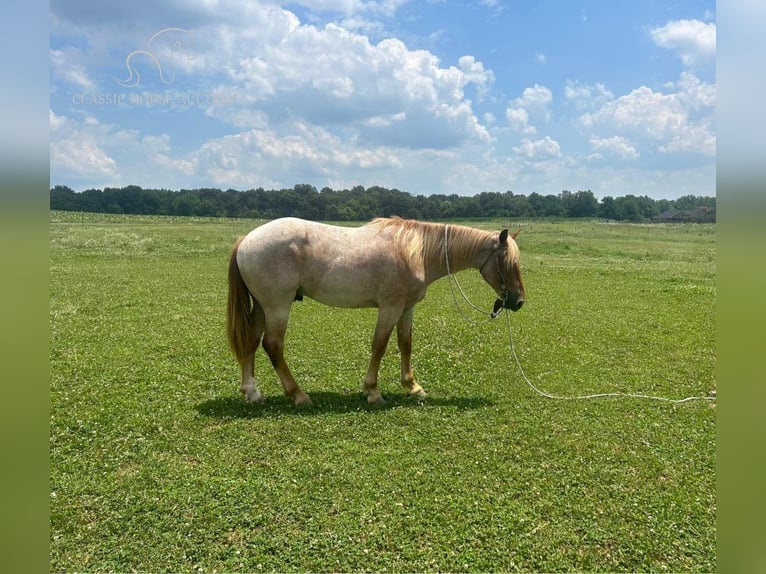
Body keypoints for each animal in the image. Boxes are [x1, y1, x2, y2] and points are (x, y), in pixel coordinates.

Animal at [228, 217, 524, 410]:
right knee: (273, 346)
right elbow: (379, 346)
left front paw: (413, 387)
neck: (415, 251)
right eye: (508, 262)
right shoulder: (390, 308)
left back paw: (252, 392)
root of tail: (246, 240)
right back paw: (298, 395)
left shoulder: (406, 308)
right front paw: (373, 392)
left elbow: (405, 344)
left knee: (251, 341)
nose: (518, 301)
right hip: (278, 307)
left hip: (263, 307)